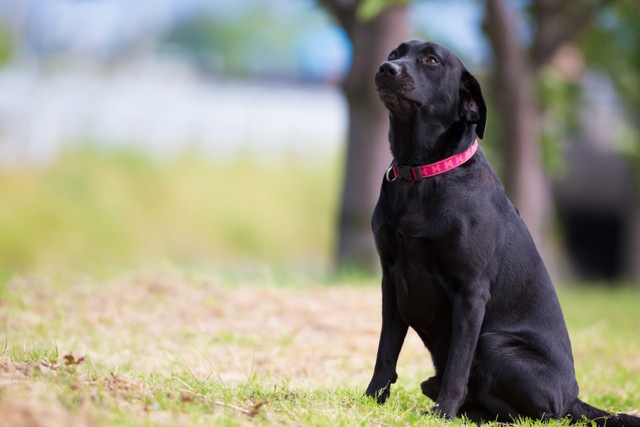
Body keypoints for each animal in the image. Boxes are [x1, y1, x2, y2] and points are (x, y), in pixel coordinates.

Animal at [364, 39, 640, 424]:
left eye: (432, 60)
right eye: (394, 54)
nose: (386, 69)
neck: (422, 174)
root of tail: (574, 400)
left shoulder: (470, 292)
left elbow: (459, 364)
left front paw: (444, 411)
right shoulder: (391, 279)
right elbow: (386, 350)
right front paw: (370, 399)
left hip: (495, 343)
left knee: (531, 414)